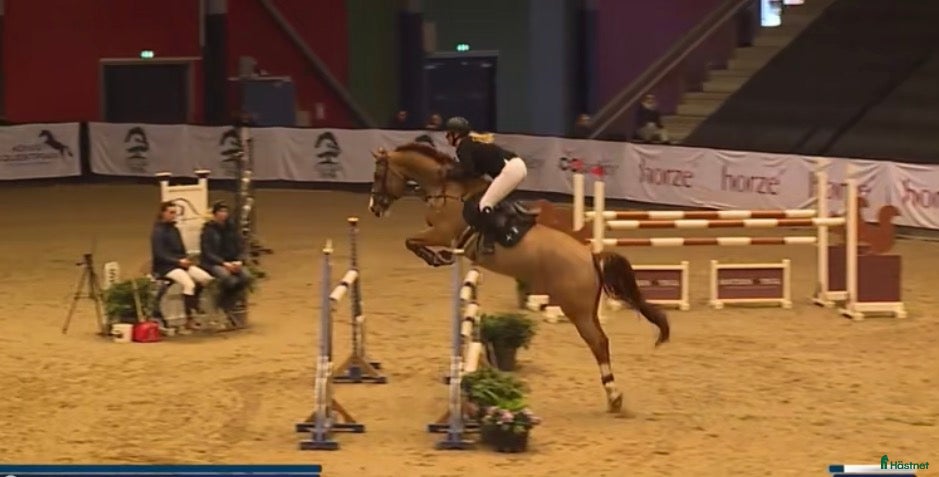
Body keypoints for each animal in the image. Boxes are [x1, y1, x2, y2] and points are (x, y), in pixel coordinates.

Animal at [367, 142, 670, 413]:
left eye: (378, 174)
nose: (374, 208)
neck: (446, 191)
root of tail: (591, 257)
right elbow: (413, 242)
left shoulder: (441, 233)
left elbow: (411, 241)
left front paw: (436, 258)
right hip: (585, 308)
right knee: (601, 341)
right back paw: (612, 396)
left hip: (577, 309)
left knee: (598, 342)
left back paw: (614, 395)